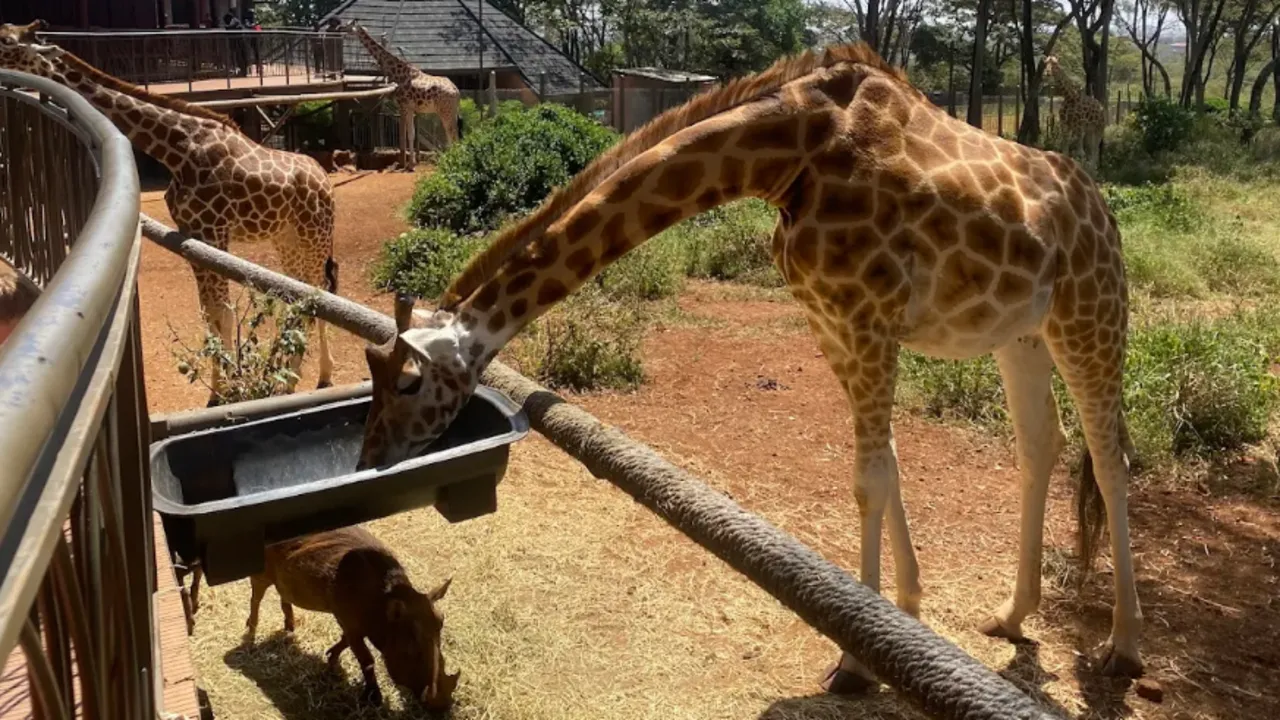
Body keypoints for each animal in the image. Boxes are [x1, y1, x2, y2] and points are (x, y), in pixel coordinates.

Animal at [0, 21, 338, 405]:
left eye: (6, 41)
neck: (177, 151)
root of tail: (325, 180)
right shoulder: (193, 234)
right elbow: (210, 314)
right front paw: (221, 391)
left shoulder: (214, 231)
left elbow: (222, 313)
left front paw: (229, 391)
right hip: (286, 239)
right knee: (300, 295)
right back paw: (288, 378)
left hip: (315, 237)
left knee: (319, 293)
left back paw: (319, 375)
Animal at [343, 20, 460, 171]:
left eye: (348, 25)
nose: (340, 29)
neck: (397, 71)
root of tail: (456, 91)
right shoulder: (409, 108)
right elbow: (409, 134)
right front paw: (411, 163)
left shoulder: (404, 106)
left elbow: (409, 135)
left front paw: (410, 166)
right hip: (451, 111)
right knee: (453, 133)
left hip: (445, 111)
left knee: (451, 133)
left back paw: (452, 160)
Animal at [356, 43, 1145, 688]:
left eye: (407, 383)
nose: (368, 460)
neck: (784, 157)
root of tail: (1101, 209)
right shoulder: (834, 324)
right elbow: (886, 468)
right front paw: (904, 619)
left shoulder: (869, 320)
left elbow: (867, 481)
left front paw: (856, 662)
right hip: (1021, 335)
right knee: (1041, 445)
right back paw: (1013, 615)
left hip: (1092, 312)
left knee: (1109, 457)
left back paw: (1123, 648)